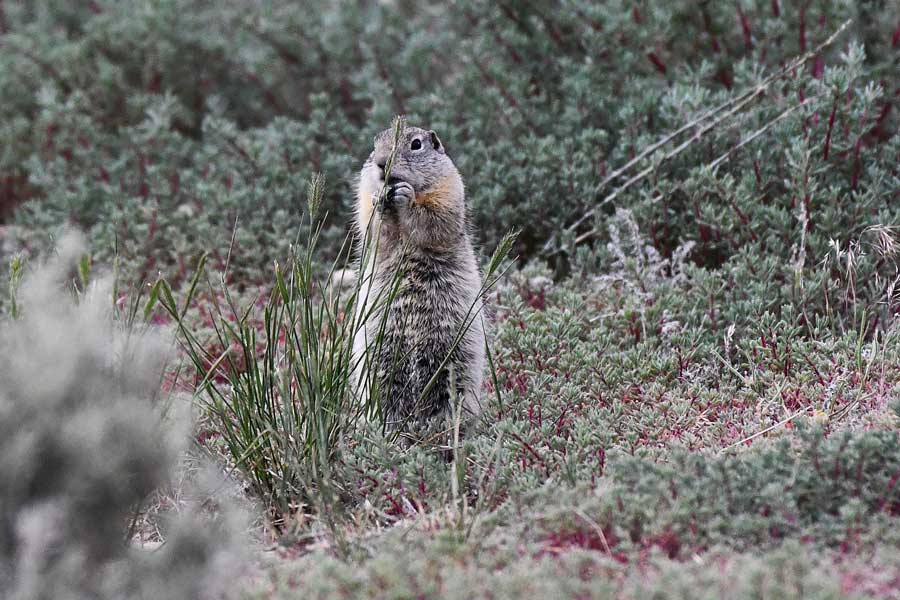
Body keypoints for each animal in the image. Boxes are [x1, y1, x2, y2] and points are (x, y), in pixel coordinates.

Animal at [352, 124, 485, 431]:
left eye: (415, 144)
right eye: (374, 145)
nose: (381, 163)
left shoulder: (449, 188)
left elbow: (434, 218)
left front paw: (406, 196)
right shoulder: (363, 195)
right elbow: (373, 227)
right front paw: (380, 203)